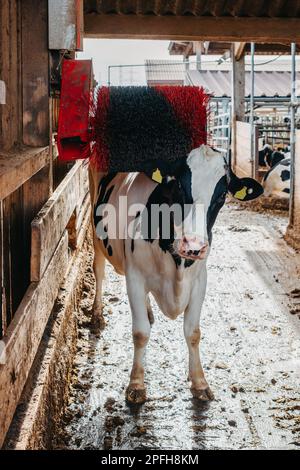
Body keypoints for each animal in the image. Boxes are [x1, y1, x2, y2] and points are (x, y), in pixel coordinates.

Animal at [89, 145, 262, 402]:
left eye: (222, 195)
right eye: (179, 185)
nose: (194, 245)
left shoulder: (200, 281)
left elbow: (193, 332)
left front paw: (200, 382)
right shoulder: (135, 278)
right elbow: (141, 333)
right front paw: (136, 385)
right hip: (95, 232)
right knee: (98, 270)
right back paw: (97, 314)